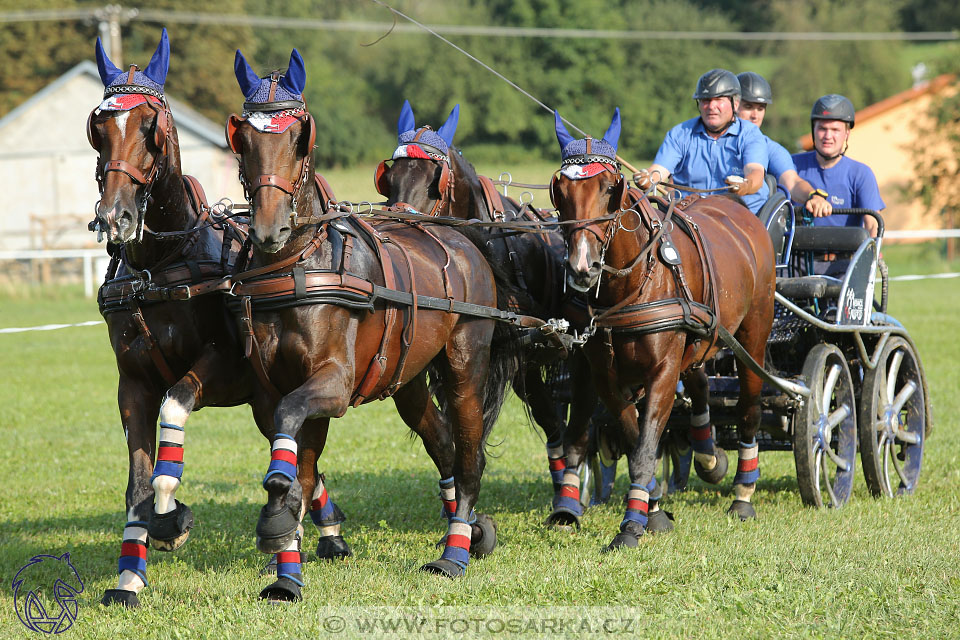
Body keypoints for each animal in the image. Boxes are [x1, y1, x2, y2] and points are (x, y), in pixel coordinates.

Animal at [88, 33, 350, 604]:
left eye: (152, 128)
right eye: (98, 129)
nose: (117, 217)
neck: (157, 267)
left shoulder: (224, 366)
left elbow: (175, 407)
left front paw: (170, 515)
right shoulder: (131, 383)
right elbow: (136, 483)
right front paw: (128, 576)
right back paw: (318, 527)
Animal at [226, 47, 516, 592]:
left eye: (298, 138)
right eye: (244, 139)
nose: (269, 229)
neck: (298, 266)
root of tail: (463, 238)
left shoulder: (333, 384)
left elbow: (292, 433)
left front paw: (276, 509)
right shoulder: (272, 389)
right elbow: (300, 460)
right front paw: (287, 568)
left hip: (466, 368)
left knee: (469, 455)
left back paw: (455, 551)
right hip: (409, 379)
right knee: (443, 441)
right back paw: (473, 528)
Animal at [544, 110, 776, 552]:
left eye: (610, 186)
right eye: (559, 189)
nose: (582, 267)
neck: (630, 286)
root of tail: (733, 206)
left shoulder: (663, 371)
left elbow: (646, 444)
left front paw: (631, 526)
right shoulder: (606, 376)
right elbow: (635, 438)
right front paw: (652, 509)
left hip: (754, 334)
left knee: (749, 408)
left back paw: (743, 494)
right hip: (702, 335)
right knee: (700, 382)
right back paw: (708, 456)